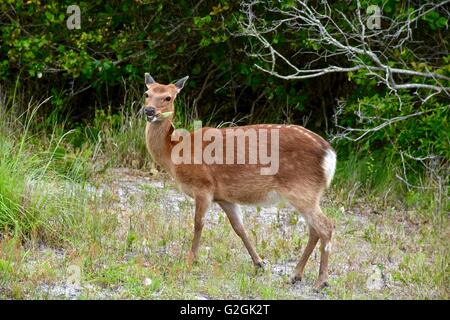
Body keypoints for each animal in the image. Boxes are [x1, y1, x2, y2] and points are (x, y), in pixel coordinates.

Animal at [142, 74, 336, 288]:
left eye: (168, 97)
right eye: (147, 93)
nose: (149, 111)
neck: (174, 154)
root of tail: (330, 155)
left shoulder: (203, 187)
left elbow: (198, 223)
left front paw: (190, 260)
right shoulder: (224, 197)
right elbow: (239, 228)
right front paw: (259, 263)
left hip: (302, 189)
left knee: (326, 226)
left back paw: (321, 281)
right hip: (307, 193)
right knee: (314, 230)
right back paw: (296, 275)